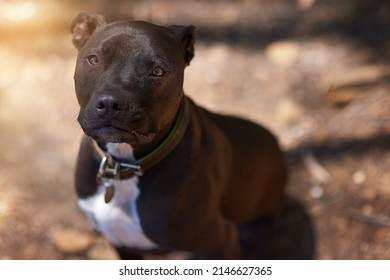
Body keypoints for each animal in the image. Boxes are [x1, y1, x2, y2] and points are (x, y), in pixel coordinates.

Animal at [71, 12, 286, 260]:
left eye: (158, 71)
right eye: (93, 59)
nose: (110, 103)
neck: (123, 164)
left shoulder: (222, 242)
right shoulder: (123, 245)